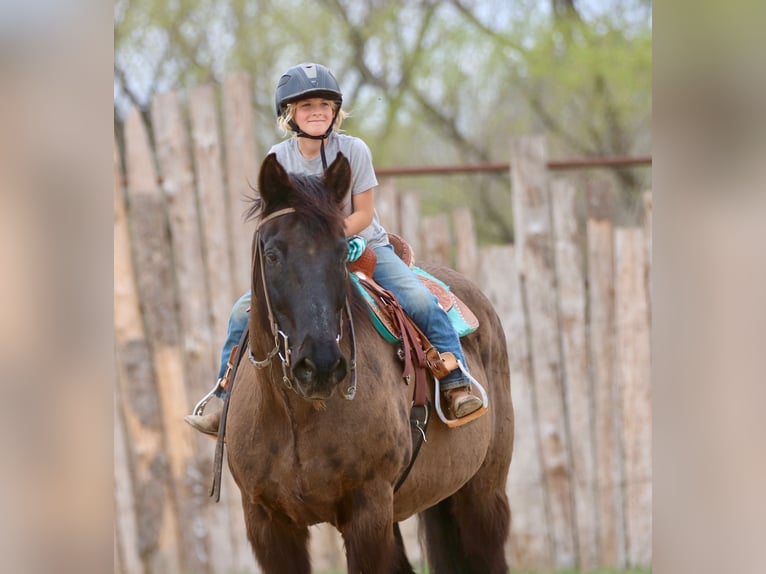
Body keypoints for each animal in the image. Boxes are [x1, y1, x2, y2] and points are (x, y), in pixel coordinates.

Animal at [224, 152, 514, 573]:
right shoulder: (267, 523)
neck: (297, 416)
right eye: (272, 254)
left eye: (340, 251)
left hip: (481, 494)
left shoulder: (368, 512)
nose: (320, 365)